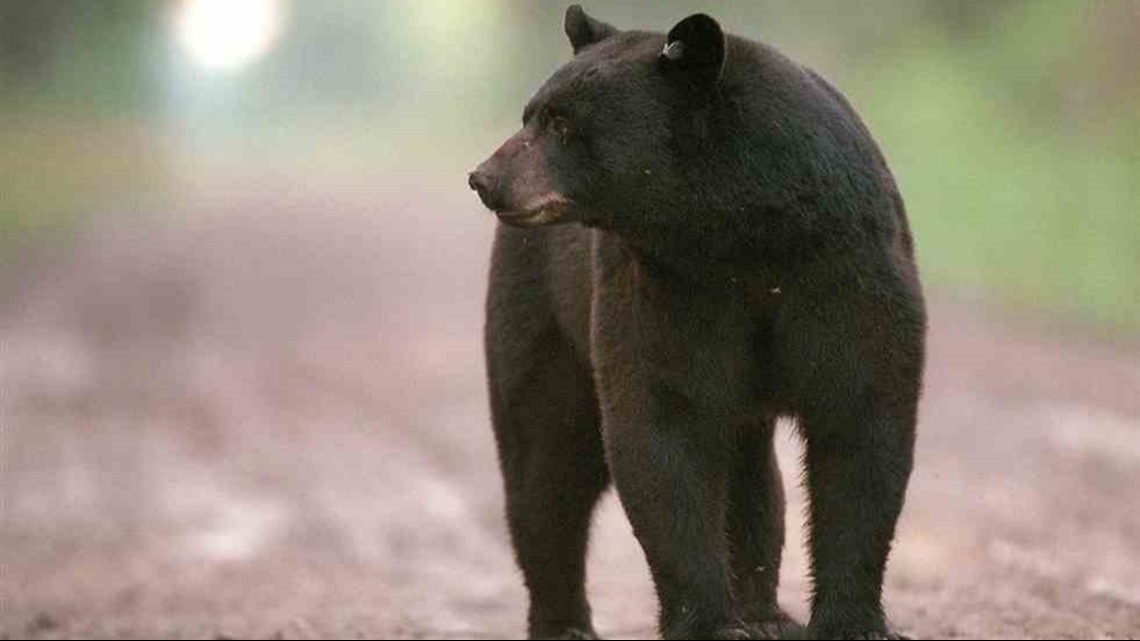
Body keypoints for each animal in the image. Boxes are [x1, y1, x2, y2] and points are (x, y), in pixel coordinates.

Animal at [469, 6, 926, 640]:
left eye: (561, 123)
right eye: (531, 115)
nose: (485, 178)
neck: (739, 234)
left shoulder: (846, 271)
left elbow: (862, 424)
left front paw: (853, 621)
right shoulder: (667, 289)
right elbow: (663, 427)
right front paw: (706, 620)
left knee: (749, 478)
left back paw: (764, 613)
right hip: (542, 317)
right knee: (547, 465)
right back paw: (564, 621)